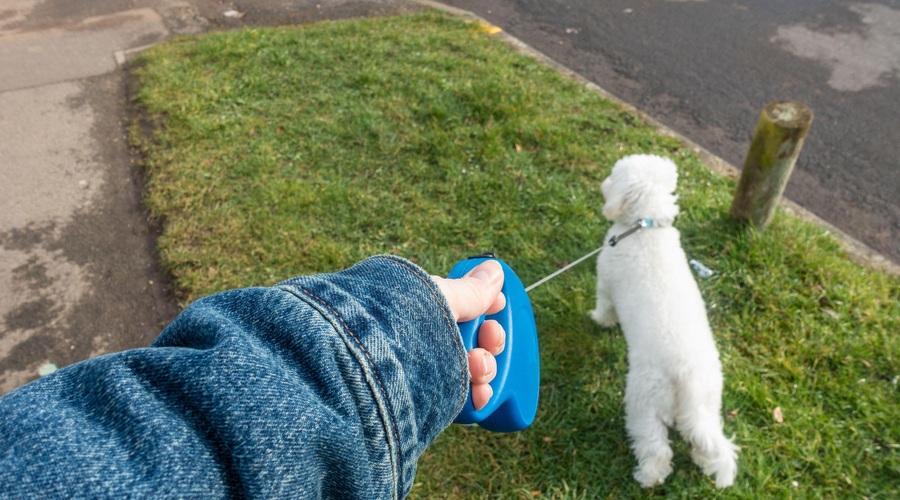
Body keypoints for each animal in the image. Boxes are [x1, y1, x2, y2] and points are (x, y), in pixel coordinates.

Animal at [592, 154, 740, 486]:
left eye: (614, 176)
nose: (603, 184)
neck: (647, 227)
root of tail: (687, 375)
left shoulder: (605, 283)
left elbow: (605, 307)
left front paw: (599, 321)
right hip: (706, 403)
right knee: (706, 437)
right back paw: (705, 460)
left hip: (644, 399)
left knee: (655, 446)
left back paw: (648, 476)